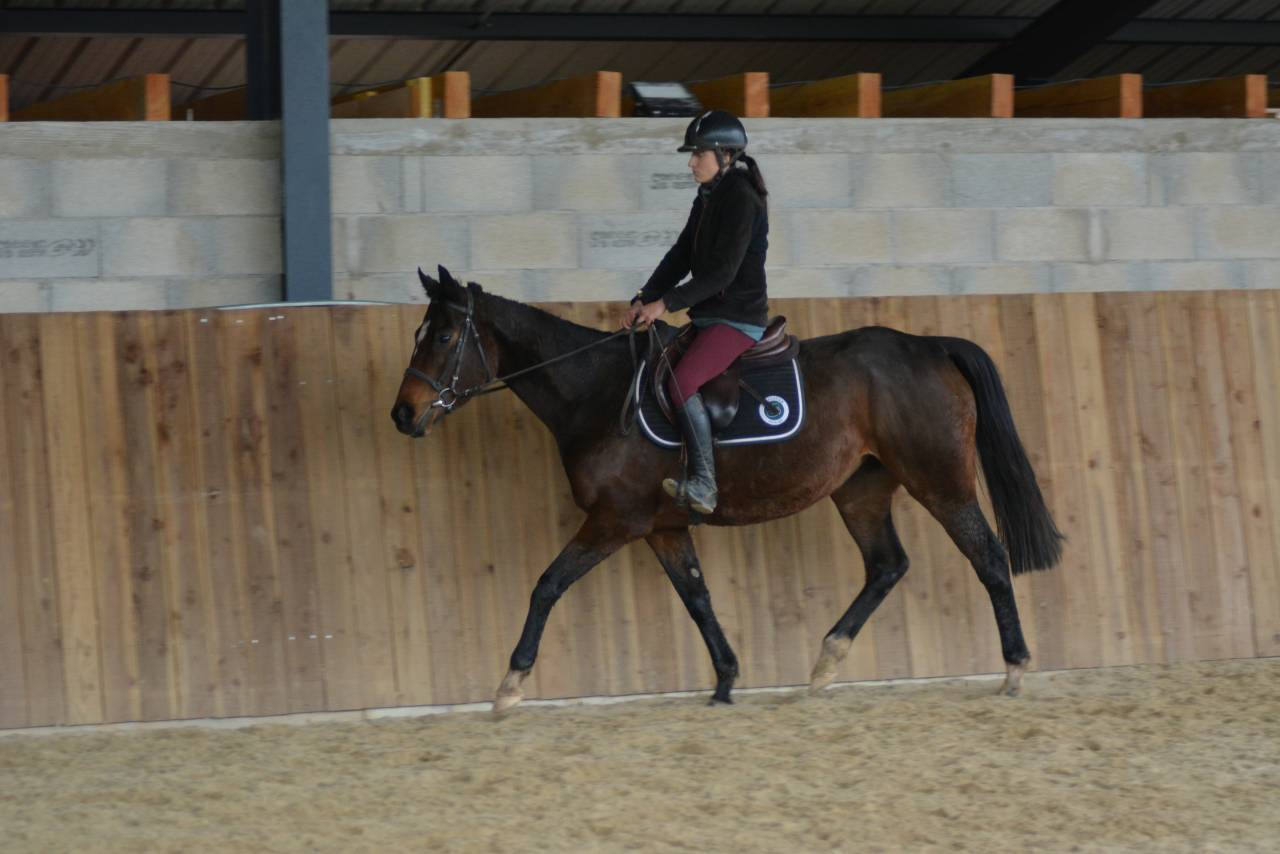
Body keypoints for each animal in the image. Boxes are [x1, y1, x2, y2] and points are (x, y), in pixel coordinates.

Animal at [391, 266, 1063, 712]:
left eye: (444, 338)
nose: (403, 415)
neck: (597, 392)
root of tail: (931, 345)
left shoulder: (615, 520)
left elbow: (548, 584)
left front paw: (509, 686)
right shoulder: (663, 526)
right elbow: (697, 597)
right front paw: (724, 682)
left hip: (939, 480)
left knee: (988, 557)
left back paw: (1015, 669)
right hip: (861, 489)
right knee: (887, 565)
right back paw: (824, 664)